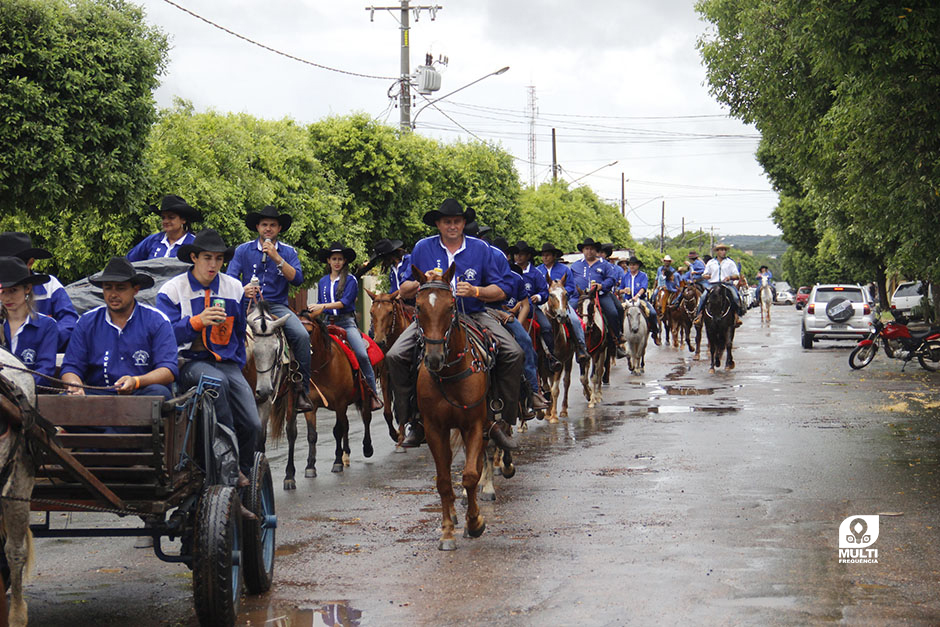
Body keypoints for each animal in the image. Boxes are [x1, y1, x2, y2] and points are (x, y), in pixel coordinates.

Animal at [242, 300, 298, 490]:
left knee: (291, 431)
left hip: (291, 394)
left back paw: (290, 476)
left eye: (275, 350)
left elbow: (259, 440)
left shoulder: (264, 403)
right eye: (254, 351)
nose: (266, 389)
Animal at [268, 312, 370, 478]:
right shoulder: (312, 405)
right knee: (347, 424)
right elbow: (312, 435)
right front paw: (310, 466)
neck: (322, 367)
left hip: (365, 395)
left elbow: (337, 430)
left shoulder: (340, 403)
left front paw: (337, 463)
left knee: (366, 418)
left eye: (309, 331)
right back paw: (346, 454)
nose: (294, 360)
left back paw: (367, 448)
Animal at [368, 290, 412, 446]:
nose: (379, 341)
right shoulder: (385, 376)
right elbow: (388, 411)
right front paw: (395, 434)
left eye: (390, 312)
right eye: (371, 313)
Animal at [414, 264, 488, 548]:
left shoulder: (474, 425)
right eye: (418, 306)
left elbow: (470, 475)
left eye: (450, 306)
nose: (434, 359)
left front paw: (475, 522)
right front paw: (447, 532)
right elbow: (444, 480)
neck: (450, 375)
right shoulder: (435, 428)